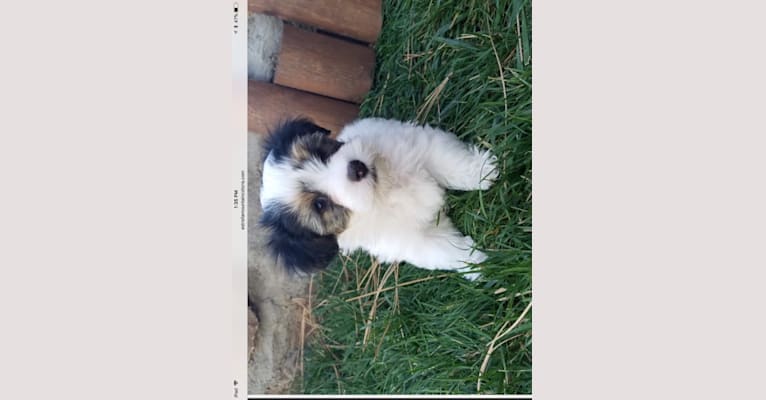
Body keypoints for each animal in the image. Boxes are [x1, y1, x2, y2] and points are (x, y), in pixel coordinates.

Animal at [258, 118, 498, 282]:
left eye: (321, 153)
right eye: (320, 204)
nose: (357, 167)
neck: (382, 188)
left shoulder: (419, 146)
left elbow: (448, 161)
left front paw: (482, 171)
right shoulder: (412, 239)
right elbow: (442, 250)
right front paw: (474, 263)